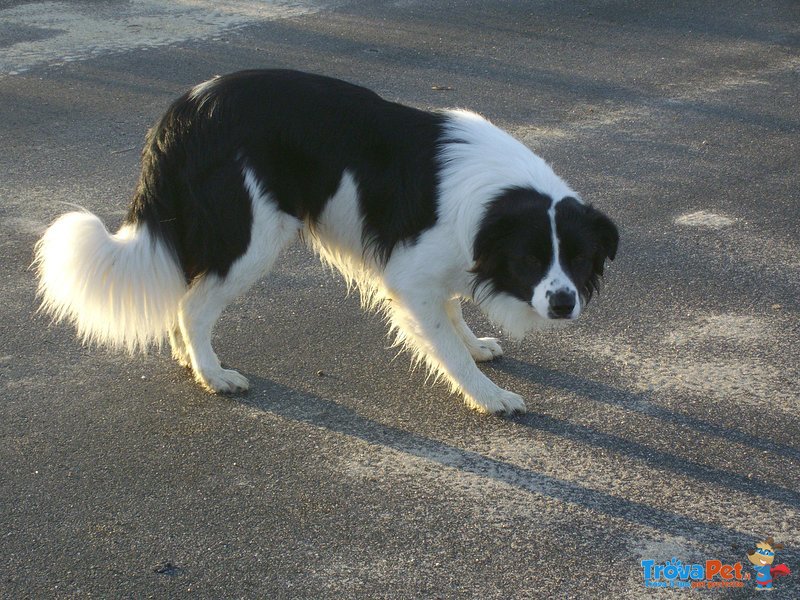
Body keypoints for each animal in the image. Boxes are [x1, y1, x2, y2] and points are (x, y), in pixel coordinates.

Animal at [32, 69, 620, 412]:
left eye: (579, 258)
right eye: (531, 259)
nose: (563, 304)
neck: (495, 202)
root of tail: (181, 114)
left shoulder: (440, 269)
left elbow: (454, 315)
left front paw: (478, 346)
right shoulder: (410, 277)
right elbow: (447, 348)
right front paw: (490, 396)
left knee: (183, 300)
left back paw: (189, 360)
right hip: (253, 237)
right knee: (193, 305)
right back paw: (214, 376)